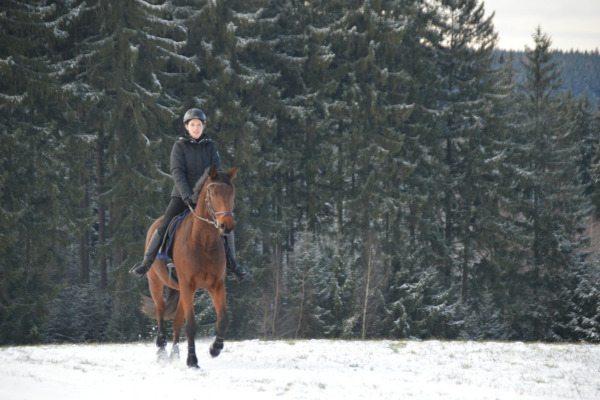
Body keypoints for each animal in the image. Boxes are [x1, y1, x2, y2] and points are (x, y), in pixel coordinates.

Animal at [143, 164, 237, 368]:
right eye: (213, 193)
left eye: (232, 193)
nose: (226, 226)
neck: (204, 241)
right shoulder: (188, 286)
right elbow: (192, 325)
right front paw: (192, 360)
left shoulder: (216, 286)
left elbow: (224, 319)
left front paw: (215, 348)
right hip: (155, 283)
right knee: (160, 312)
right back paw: (161, 352)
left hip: (181, 291)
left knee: (177, 322)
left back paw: (174, 354)